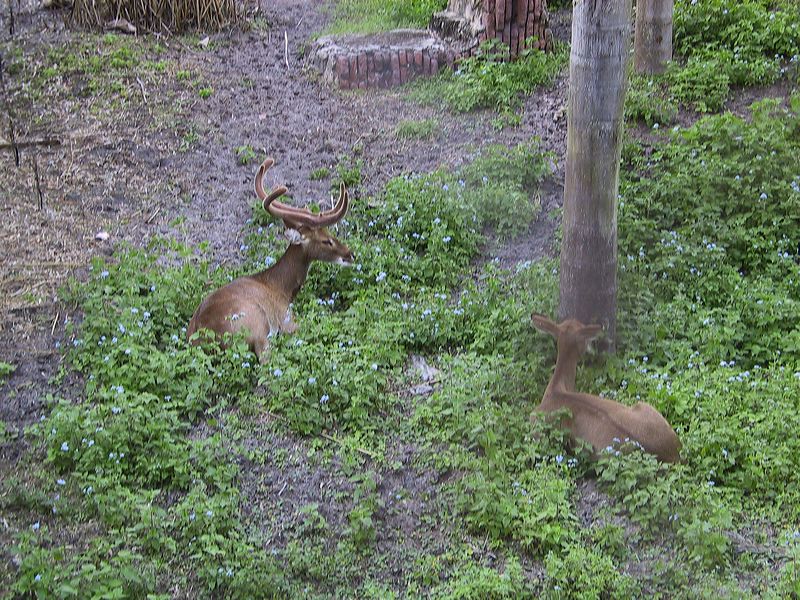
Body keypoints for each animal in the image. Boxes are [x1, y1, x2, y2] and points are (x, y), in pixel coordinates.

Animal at [188, 158, 354, 360]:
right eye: (326, 241)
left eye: (330, 234)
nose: (350, 254)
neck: (282, 288)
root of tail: (203, 339)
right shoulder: (286, 318)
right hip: (255, 323)